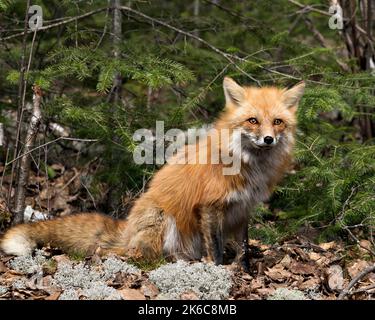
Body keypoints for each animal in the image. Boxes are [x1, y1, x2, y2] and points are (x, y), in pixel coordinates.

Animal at [0, 77, 306, 270]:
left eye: (277, 122)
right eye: (253, 120)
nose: (268, 139)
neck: (247, 165)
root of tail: (127, 228)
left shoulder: (242, 209)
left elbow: (243, 249)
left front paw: (244, 272)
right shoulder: (210, 206)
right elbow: (217, 250)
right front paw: (219, 271)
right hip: (162, 220)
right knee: (117, 252)